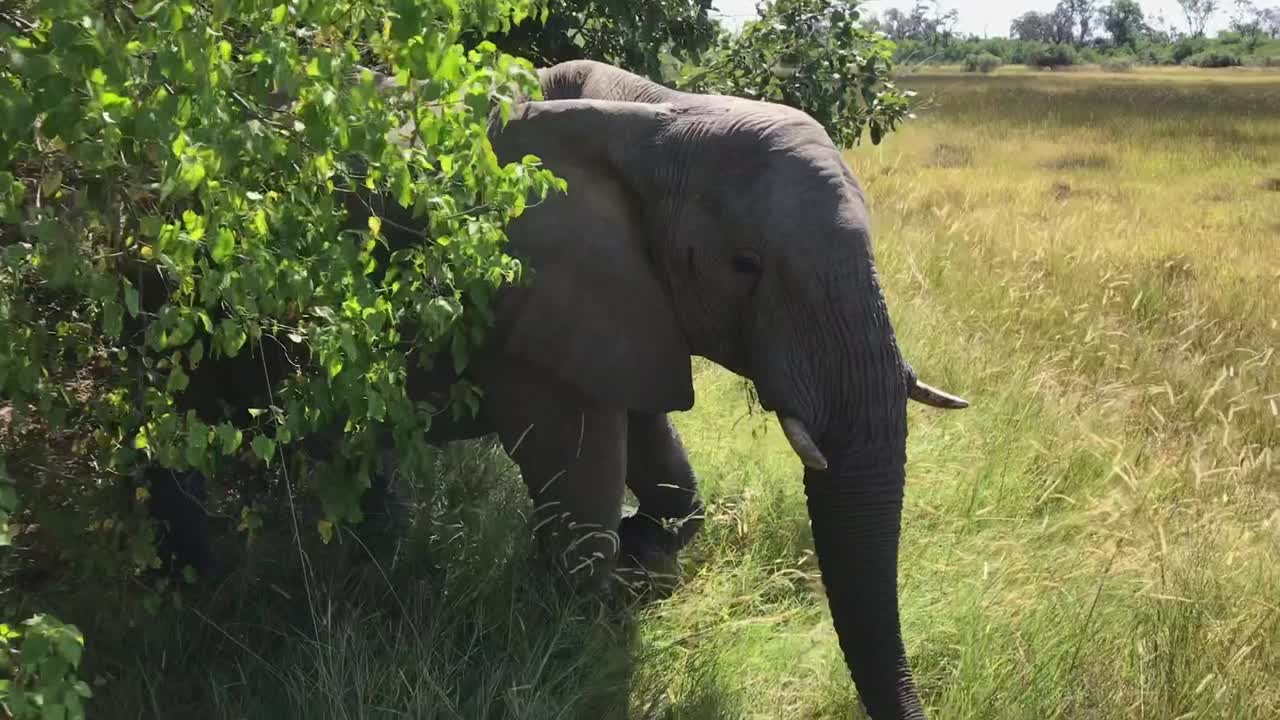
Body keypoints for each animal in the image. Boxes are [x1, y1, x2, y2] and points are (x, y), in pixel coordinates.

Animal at [138, 59, 969, 719]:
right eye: (745, 266)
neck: (660, 115)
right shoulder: (515, 278)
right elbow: (579, 483)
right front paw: (587, 623)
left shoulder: (623, 296)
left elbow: (657, 453)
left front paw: (644, 556)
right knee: (168, 427)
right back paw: (195, 588)